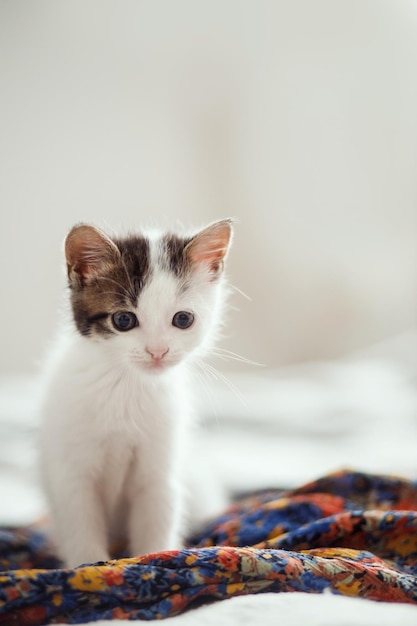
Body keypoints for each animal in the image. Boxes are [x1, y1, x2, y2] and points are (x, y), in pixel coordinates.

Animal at [39, 219, 232, 564]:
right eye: (123, 319)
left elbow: (157, 513)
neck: (127, 386)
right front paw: (89, 565)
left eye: (183, 319)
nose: (158, 351)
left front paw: (152, 559)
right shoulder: (71, 471)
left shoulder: (160, 468)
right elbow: (79, 522)